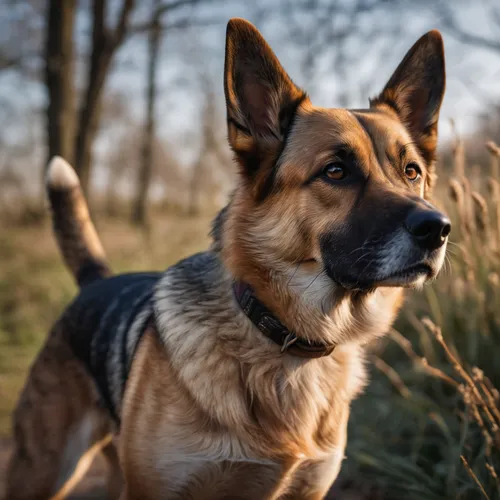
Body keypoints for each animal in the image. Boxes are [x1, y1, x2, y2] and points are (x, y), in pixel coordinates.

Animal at [4, 17, 450, 498]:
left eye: (411, 172)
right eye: (336, 171)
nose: (438, 228)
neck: (284, 337)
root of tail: (98, 279)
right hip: (43, 470)